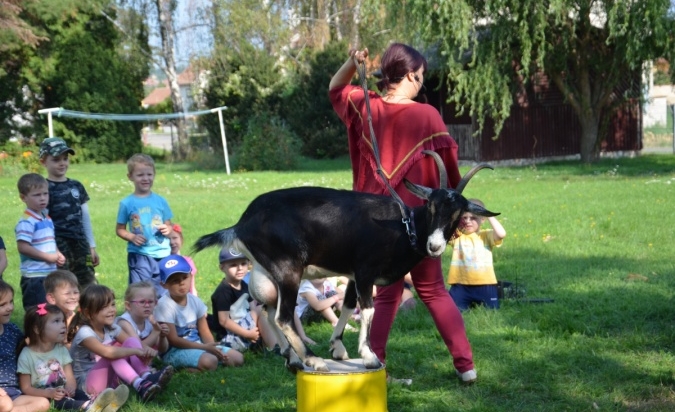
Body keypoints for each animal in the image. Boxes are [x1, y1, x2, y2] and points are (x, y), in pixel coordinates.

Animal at [193, 154, 500, 374]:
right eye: (431, 206)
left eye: (458, 214)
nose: (434, 246)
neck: (404, 227)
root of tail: (242, 223)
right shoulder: (365, 271)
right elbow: (368, 309)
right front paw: (369, 356)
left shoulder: (353, 275)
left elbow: (349, 305)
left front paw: (338, 348)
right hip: (288, 270)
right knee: (282, 316)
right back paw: (312, 360)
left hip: (265, 274)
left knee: (268, 313)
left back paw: (292, 358)